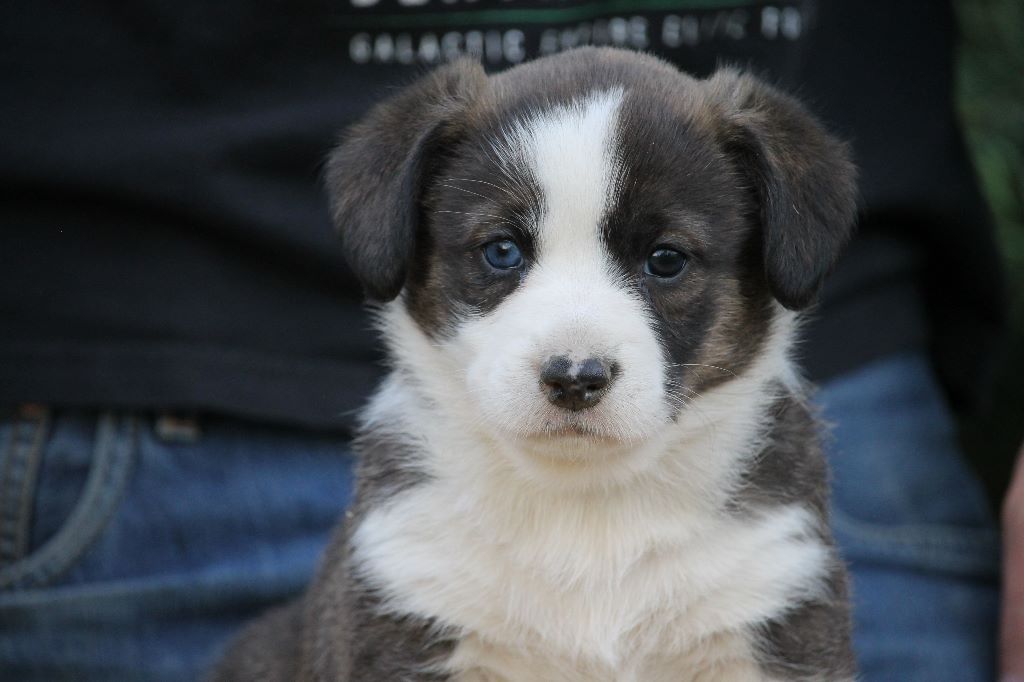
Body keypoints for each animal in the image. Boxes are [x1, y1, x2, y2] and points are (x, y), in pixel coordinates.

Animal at [211, 46, 858, 681]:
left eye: (666, 259)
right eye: (502, 251)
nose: (574, 377)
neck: (583, 502)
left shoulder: (779, 600)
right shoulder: (405, 607)